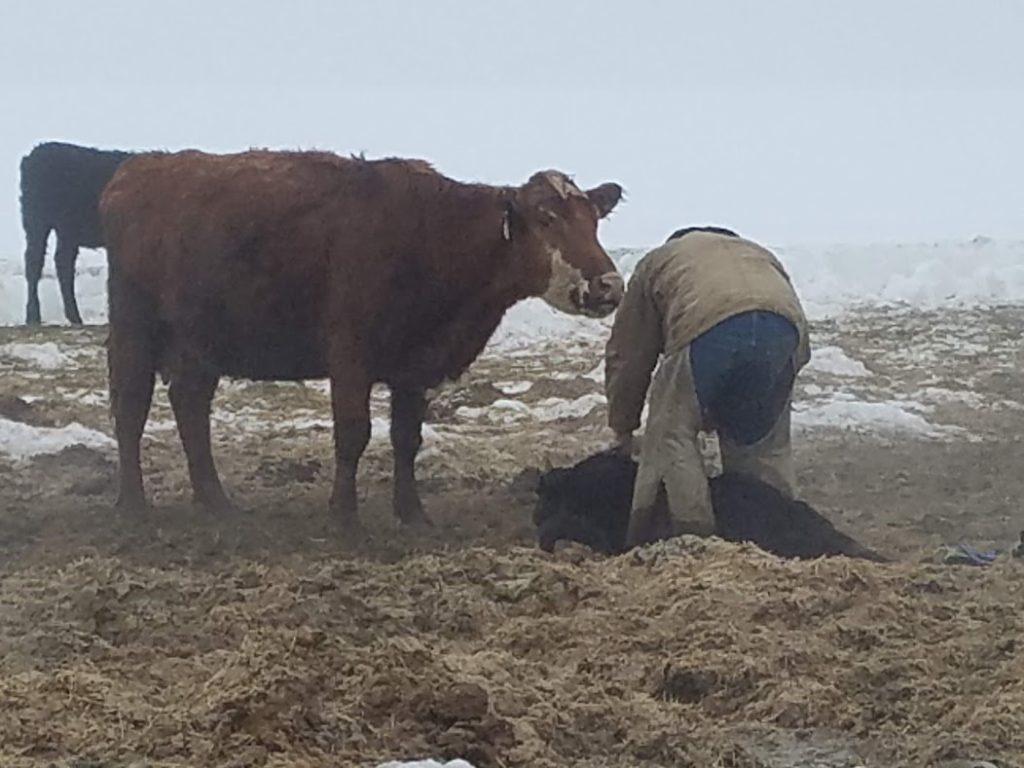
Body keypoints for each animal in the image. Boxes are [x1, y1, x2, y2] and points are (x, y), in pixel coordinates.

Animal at [20, 141, 133, 325]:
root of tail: (35, 153)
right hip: (37, 221)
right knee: (35, 262)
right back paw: (34, 316)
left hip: (66, 231)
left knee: (62, 263)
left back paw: (73, 316)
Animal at [101, 153, 622, 532]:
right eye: (547, 217)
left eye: (594, 220)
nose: (610, 285)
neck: (434, 234)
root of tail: (140, 169)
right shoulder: (350, 354)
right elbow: (353, 435)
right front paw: (344, 517)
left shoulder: (416, 369)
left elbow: (406, 440)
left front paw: (413, 514)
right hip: (133, 327)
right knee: (131, 409)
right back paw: (132, 505)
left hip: (201, 340)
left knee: (190, 406)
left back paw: (216, 501)